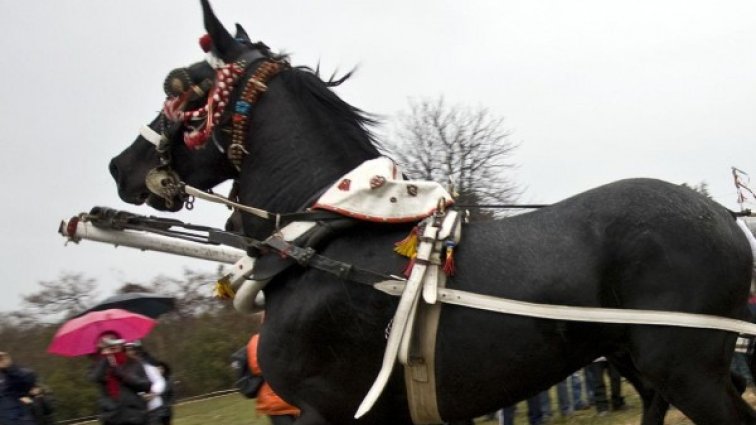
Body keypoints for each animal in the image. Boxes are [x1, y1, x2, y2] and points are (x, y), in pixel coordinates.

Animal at [108, 1, 756, 422]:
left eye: (182, 92)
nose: (121, 167)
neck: (326, 243)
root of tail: (722, 214)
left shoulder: (326, 409)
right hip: (640, 361)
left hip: (684, 368)